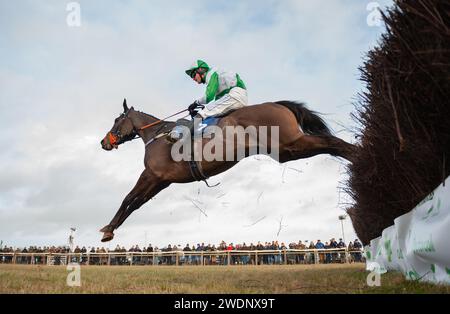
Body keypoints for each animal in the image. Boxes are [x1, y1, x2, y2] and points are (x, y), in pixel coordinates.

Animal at [99, 99, 356, 242]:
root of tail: (278, 104)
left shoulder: (151, 175)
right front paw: (112, 229)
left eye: (116, 120)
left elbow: (128, 198)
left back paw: (358, 155)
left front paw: (108, 228)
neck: (158, 136)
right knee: (330, 145)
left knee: (332, 143)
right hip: (287, 151)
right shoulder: (161, 181)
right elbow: (136, 203)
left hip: (289, 144)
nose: (103, 142)